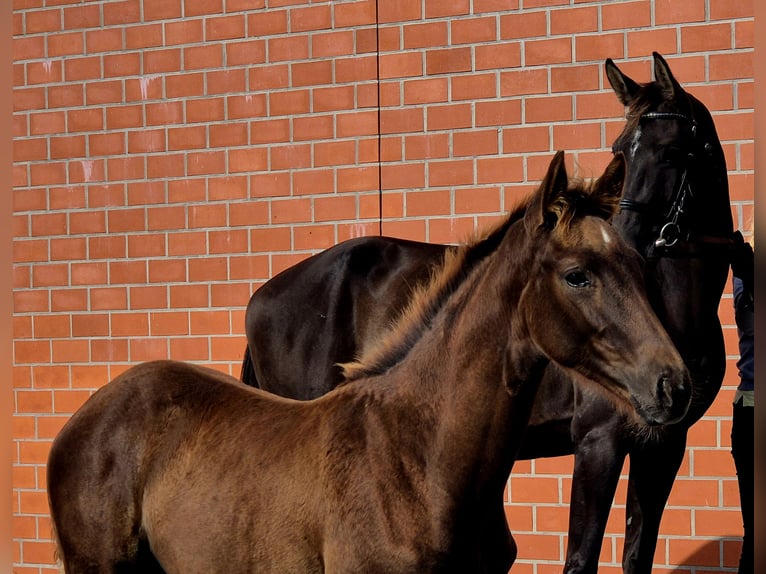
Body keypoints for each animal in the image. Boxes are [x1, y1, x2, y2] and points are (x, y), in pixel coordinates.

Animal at [239, 53, 735, 574]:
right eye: (621, 146)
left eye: (673, 152)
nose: (625, 238)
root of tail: (263, 295)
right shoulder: (598, 441)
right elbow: (581, 559)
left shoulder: (664, 447)